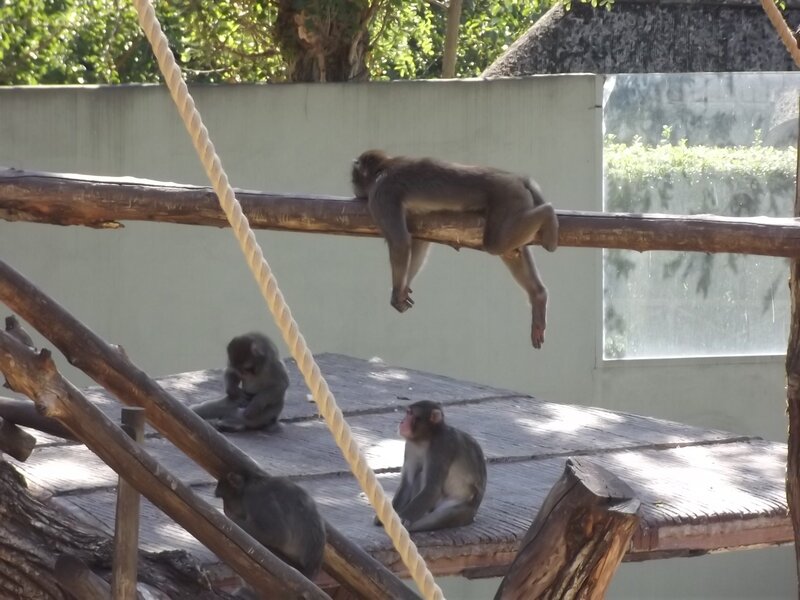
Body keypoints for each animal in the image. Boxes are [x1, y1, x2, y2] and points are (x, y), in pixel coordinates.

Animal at [352, 150, 559, 348]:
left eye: (354, 176)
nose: (354, 188)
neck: (386, 166)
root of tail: (516, 176)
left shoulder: (381, 193)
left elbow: (400, 242)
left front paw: (396, 292)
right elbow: (419, 241)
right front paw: (404, 287)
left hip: (507, 195)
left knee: (495, 243)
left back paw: (548, 213)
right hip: (517, 200)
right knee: (508, 249)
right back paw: (538, 296)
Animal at [374, 400, 487, 532]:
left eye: (410, 414)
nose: (402, 422)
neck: (426, 438)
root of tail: (474, 511)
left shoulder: (441, 445)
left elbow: (432, 488)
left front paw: (402, 518)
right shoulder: (410, 445)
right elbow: (408, 483)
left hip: (459, 507)